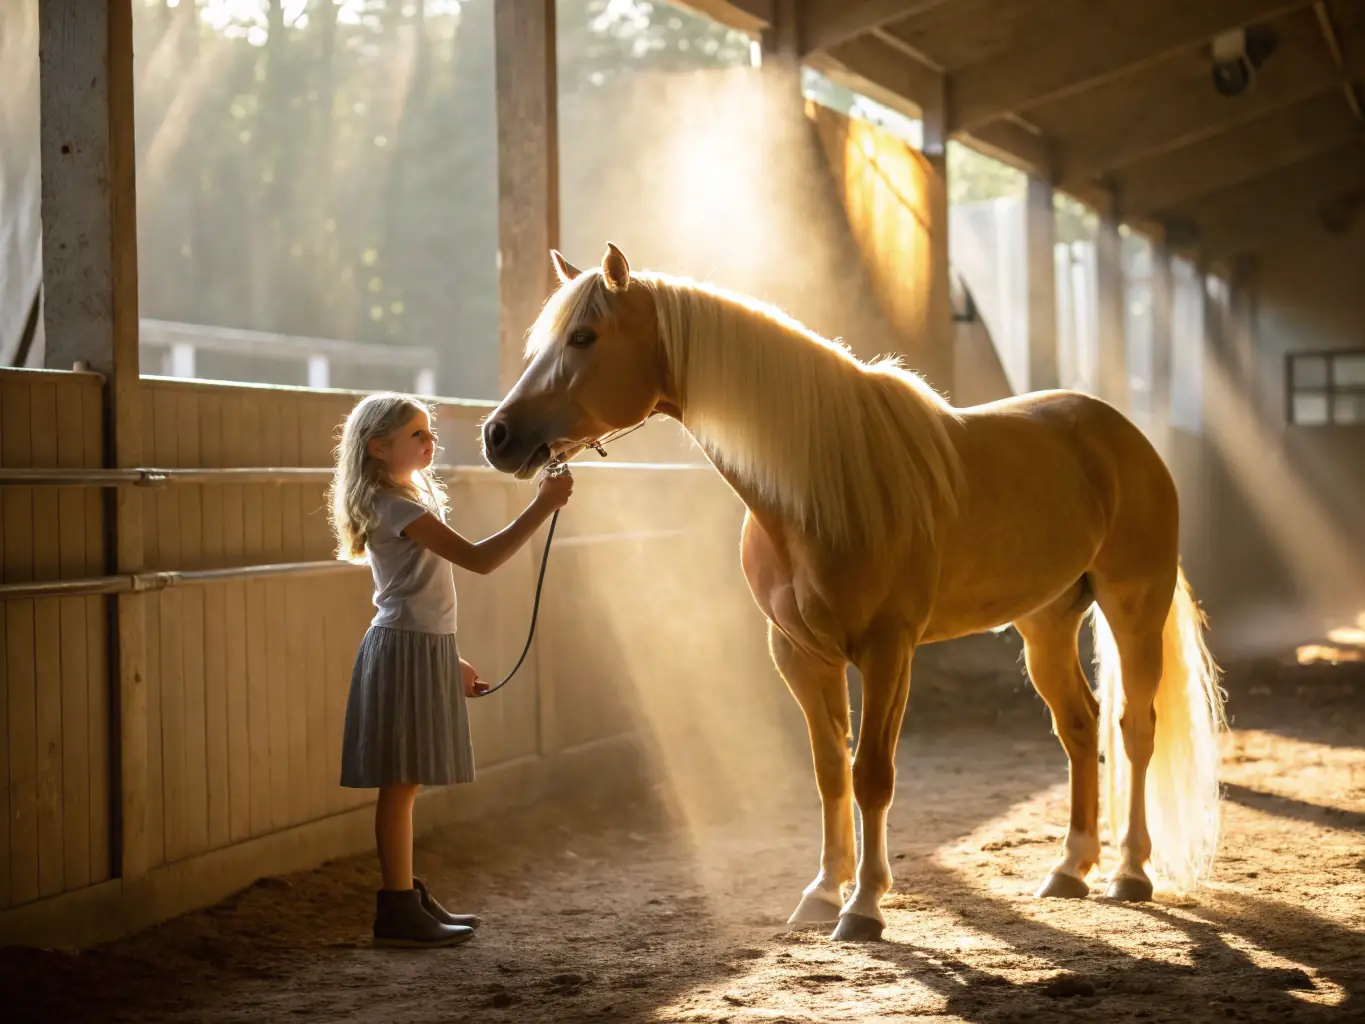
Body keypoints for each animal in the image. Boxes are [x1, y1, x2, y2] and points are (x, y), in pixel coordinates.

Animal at [482, 242, 1227, 942]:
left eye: (583, 337)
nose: (498, 436)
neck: (816, 487)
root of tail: (1121, 435)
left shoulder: (886, 651)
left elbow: (872, 773)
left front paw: (864, 906)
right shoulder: (799, 654)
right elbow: (828, 772)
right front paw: (820, 894)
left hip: (1132, 607)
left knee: (1133, 727)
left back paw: (1129, 872)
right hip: (1044, 624)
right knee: (1078, 726)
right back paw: (1069, 868)